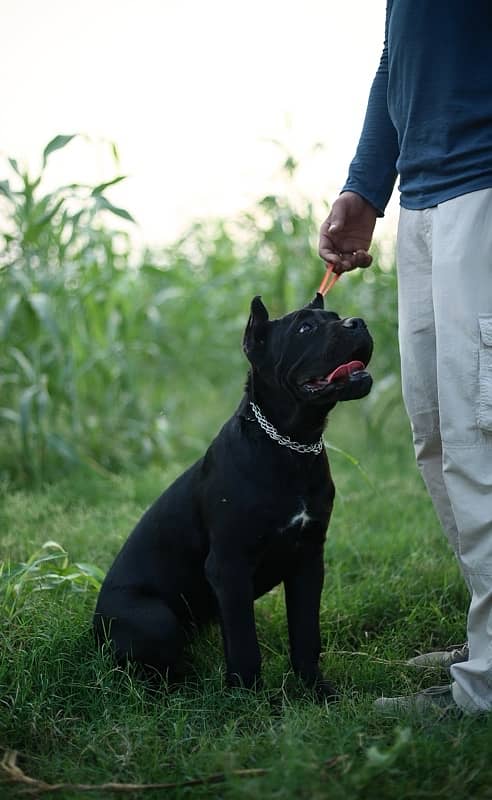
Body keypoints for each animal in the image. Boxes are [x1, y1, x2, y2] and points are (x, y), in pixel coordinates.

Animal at [93, 290, 372, 696]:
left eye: (335, 318)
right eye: (305, 328)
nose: (359, 323)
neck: (290, 444)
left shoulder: (308, 558)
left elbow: (306, 633)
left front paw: (316, 690)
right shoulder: (229, 565)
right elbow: (244, 643)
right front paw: (248, 698)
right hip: (156, 618)